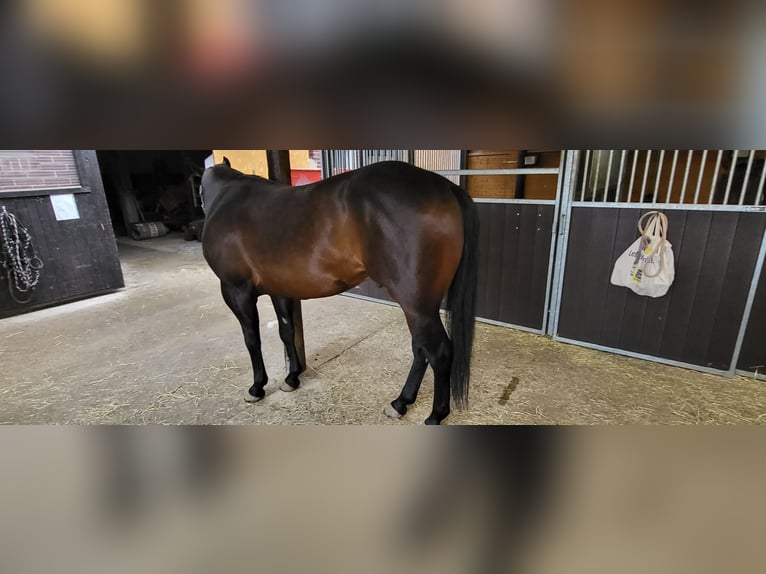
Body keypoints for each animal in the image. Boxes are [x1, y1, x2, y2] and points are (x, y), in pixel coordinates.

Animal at [200, 157, 479, 424]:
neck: (226, 198)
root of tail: (445, 187)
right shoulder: (279, 290)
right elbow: (287, 331)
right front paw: (292, 378)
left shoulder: (236, 291)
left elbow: (252, 340)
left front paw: (257, 387)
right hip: (420, 307)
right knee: (421, 350)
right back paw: (400, 403)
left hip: (417, 307)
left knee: (439, 352)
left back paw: (435, 415)